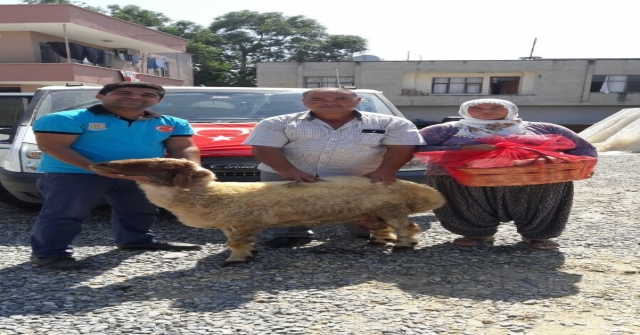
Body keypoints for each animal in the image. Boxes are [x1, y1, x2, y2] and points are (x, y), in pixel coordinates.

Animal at [89, 159, 444, 266]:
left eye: (155, 167)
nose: (101, 165)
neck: (212, 196)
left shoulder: (242, 222)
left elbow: (237, 245)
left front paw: (235, 261)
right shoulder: (231, 225)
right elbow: (236, 242)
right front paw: (245, 255)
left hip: (392, 208)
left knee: (408, 228)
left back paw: (403, 246)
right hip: (380, 211)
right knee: (387, 227)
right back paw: (379, 241)